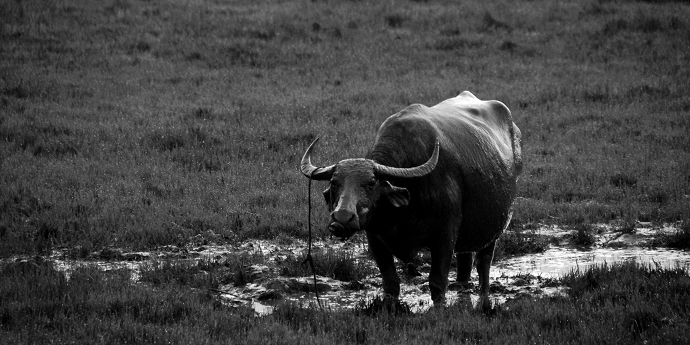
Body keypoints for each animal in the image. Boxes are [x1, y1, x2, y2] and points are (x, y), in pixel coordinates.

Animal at [298, 90, 520, 302]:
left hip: (494, 229)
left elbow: (437, 282)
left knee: (483, 264)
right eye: (334, 183)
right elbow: (390, 283)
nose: (342, 218)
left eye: (371, 183)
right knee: (465, 262)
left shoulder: (445, 235)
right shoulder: (375, 238)